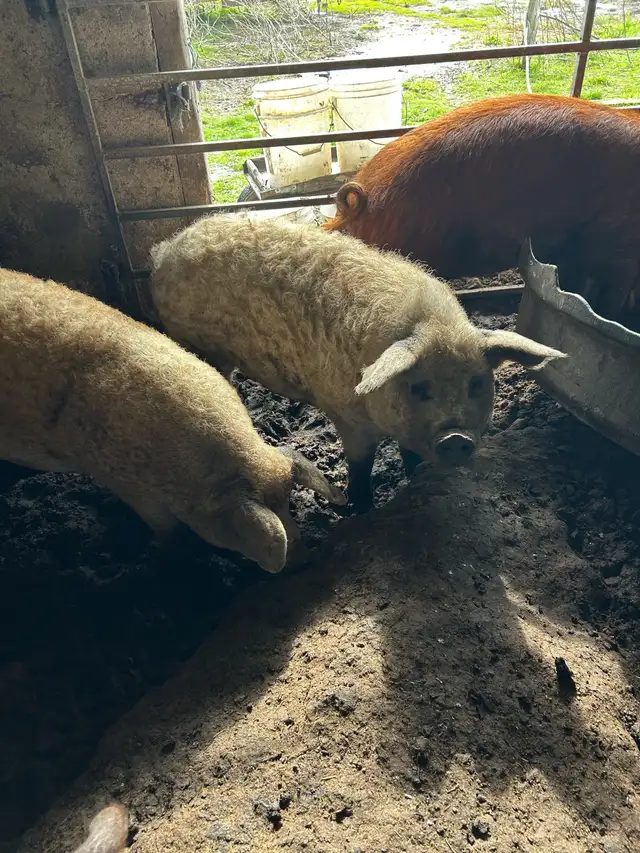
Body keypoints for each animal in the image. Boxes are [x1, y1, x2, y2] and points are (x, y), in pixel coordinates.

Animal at [148, 215, 565, 511]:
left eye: (477, 384)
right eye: (419, 387)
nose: (456, 438)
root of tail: (165, 250)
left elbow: (410, 454)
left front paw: (414, 477)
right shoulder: (346, 414)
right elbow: (360, 466)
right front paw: (360, 509)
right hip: (194, 340)